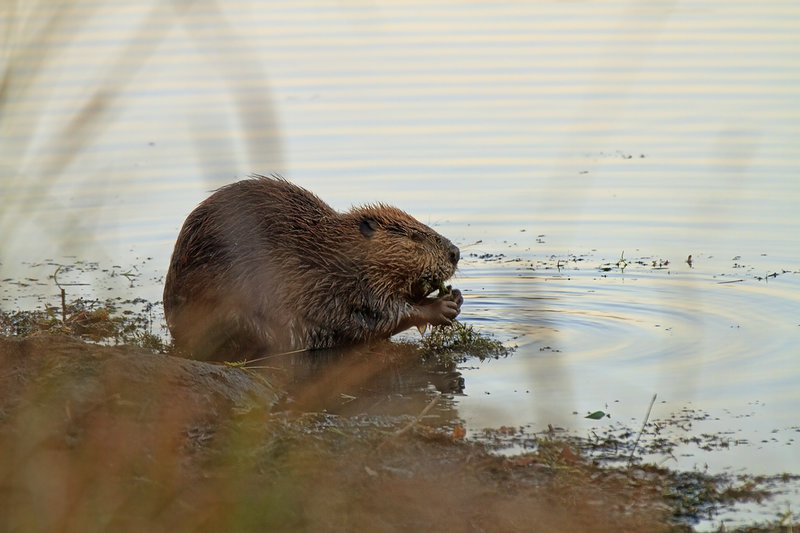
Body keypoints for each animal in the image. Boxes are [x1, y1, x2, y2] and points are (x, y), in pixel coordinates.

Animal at [164, 177, 462, 360]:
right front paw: (442, 306)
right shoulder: (334, 286)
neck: (334, 251)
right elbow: (379, 316)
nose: (455, 253)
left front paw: (455, 297)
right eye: (415, 237)